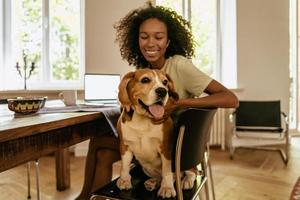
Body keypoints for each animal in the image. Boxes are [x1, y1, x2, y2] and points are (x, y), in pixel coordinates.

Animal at [115, 69, 197, 198]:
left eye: (165, 82)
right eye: (145, 80)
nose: (163, 91)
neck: (143, 119)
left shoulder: (166, 148)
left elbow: (167, 171)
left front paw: (167, 188)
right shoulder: (124, 145)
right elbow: (124, 165)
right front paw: (124, 180)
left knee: (191, 172)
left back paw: (186, 181)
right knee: (166, 176)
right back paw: (153, 182)